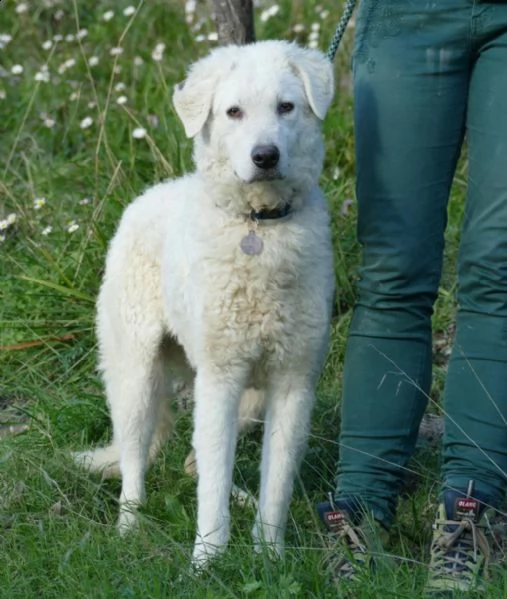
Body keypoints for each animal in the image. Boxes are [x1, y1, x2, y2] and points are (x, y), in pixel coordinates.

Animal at [74, 39, 338, 564]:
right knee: (135, 462)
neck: (259, 226)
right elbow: (211, 491)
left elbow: (275, 485)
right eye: (234, 112)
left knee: (196, 462)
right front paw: (208, 561)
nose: (265, 156)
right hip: (137, 377)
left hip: (247, 400)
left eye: (286, 107)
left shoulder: (293, 384)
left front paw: (269, 555)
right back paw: (128, 529)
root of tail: (148, 195)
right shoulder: (220, 379)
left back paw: (240, 499)